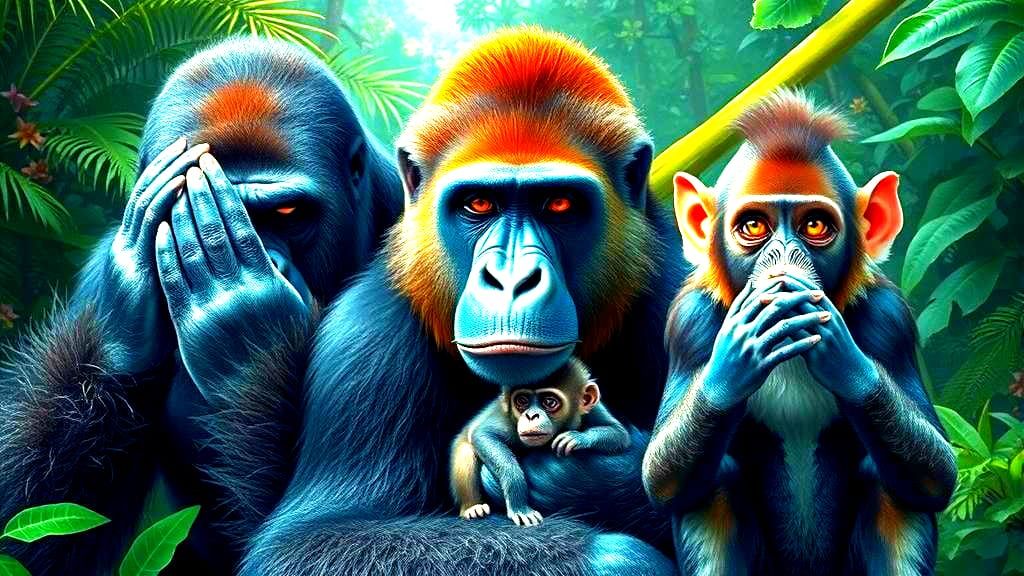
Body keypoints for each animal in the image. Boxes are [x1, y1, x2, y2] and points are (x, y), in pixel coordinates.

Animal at [0, 39, 402, 574]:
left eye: (289, 213)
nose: (266, 262)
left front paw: (250, 336)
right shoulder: (96, 281)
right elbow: (35, 539)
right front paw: (129, 322)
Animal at [451, 358, 631, 526]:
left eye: (549, 402)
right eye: (522, 401)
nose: (531, 416)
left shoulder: (593, 408)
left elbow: (619, 433)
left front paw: (577, 438)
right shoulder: (506, 420)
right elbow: (484, 435)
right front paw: (519, 502)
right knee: (467, 452)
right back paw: (472, 507)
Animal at [641, 89, 957, 575]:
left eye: (814, 226)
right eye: (755, 226)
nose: (786, 262)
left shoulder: (890, 320)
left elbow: (938, 474)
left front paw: (845, 361)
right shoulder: (688, 323)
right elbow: (661, 479)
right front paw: (734, 362)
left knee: (891, 483)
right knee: (713, 485)